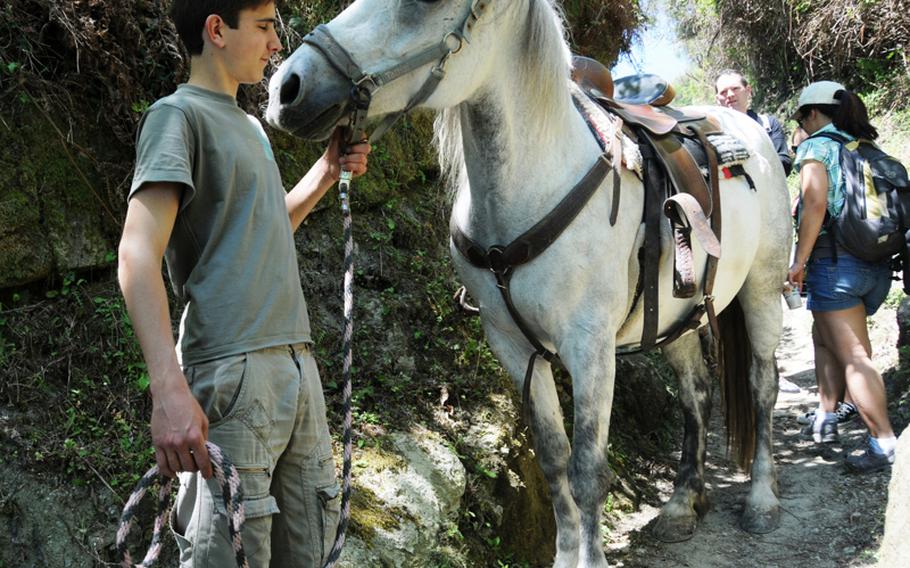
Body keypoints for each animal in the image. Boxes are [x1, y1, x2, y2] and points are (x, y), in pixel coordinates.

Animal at [266, 2, 792, 564]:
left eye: (425, 5)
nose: (288, 87)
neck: (534, 184)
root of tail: (746, 127)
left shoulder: (590, 349)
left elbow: (588, 471)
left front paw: (592, 556)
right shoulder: (516, 349)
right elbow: (554, 461)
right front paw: (565, 553)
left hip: (761, 290)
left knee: (762, 385)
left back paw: (762, 499)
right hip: (675, 318)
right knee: (696, 393)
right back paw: (681, 504)